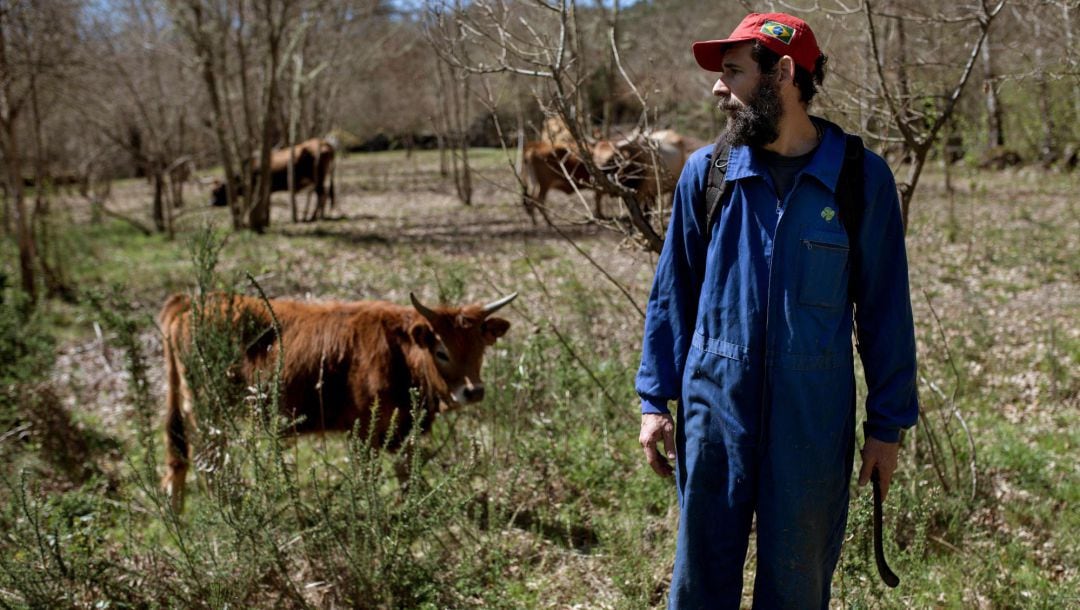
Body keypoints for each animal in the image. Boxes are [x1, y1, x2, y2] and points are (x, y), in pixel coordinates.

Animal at [157, 289, 516, 509]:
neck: (397, 352)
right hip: (208, 410)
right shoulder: (363, 429)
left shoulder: (403, 428)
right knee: (209, 461)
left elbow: (406, 470)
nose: (473, 390)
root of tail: (193, 300)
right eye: (441, 351)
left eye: (480, 349)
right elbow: (368, 476)